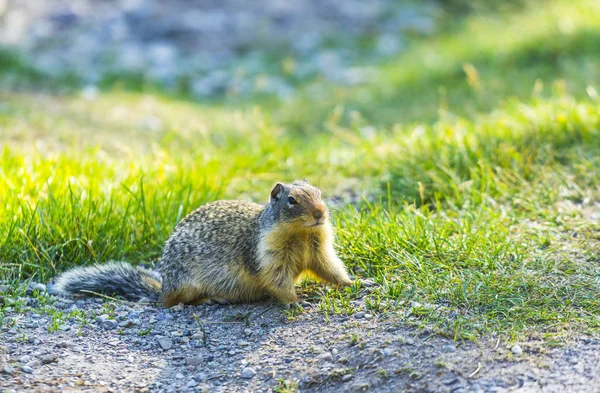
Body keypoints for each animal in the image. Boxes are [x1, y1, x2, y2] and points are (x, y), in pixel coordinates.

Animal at [52, 181, 352, 306]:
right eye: (292, 200)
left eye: (319, 193)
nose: (320, 213)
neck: (301, 234)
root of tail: (163, 288)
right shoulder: (269, 254)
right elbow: (276, 278)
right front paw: (295, 302)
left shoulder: (319, 248)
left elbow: (329, 266)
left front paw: (353, 282)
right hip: (186, 284)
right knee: (171, 304)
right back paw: (210, 299)